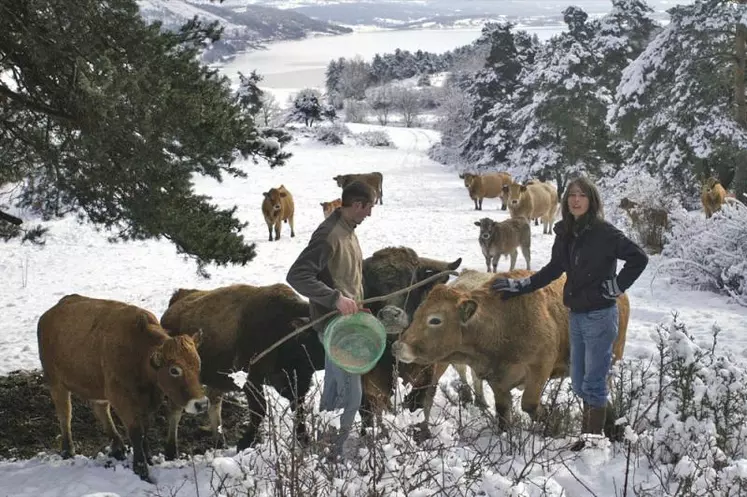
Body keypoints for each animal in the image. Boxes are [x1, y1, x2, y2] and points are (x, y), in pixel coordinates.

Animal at [394, 268, 628, 430]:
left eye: (435, 320)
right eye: (417, 313)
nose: (398, 346)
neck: (502, 322)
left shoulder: (540, 369)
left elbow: (529, 404)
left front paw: (553, 421)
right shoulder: (497, 380)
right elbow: (503, 413)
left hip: (609, 361)